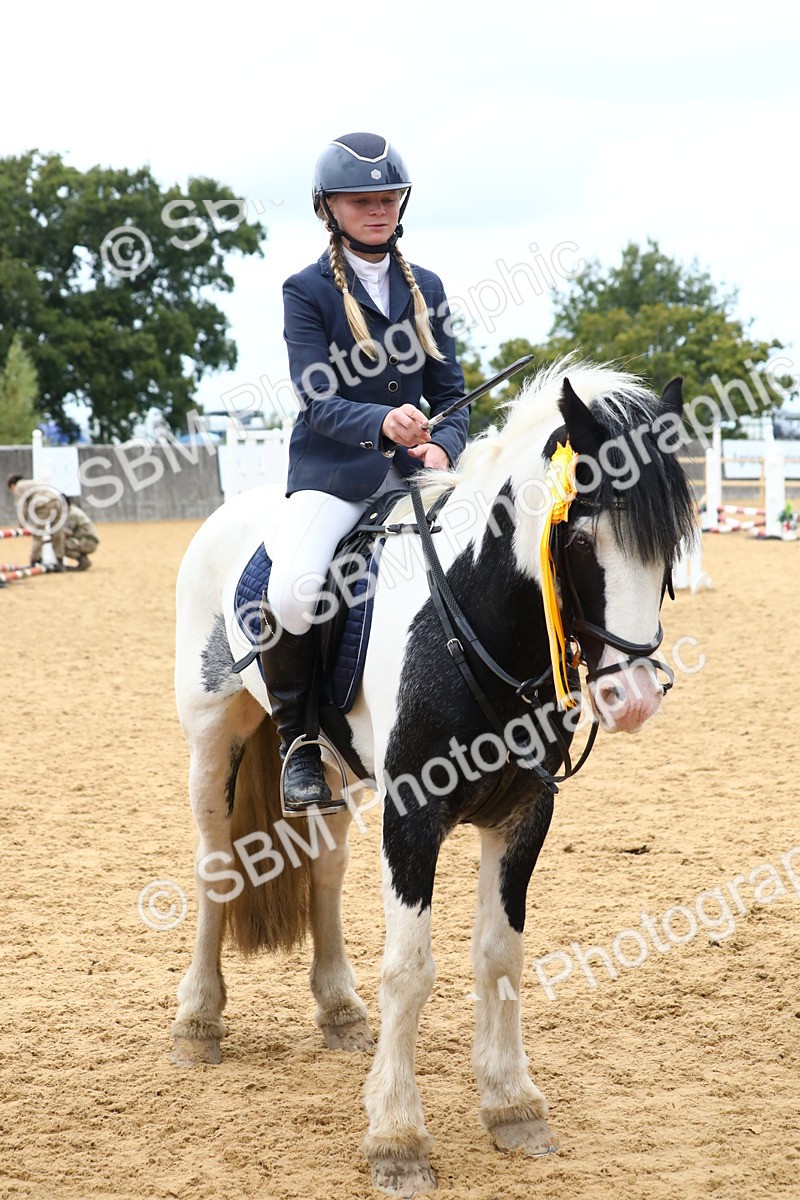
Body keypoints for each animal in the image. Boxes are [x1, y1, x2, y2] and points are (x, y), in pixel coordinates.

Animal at [171, 358, 697, 1196]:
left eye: (671, 541)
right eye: (581, 535)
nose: (637, 697)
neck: (480, 626)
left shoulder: (522, 815)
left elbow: (500, 955)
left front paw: (513, 1104)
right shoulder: (412, 817)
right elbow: (410, 970)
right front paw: (397, 1137)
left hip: (335, 773)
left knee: (324, 868)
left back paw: (340, 1011)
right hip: (212, 743)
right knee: (216, 867)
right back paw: (197, 1022)